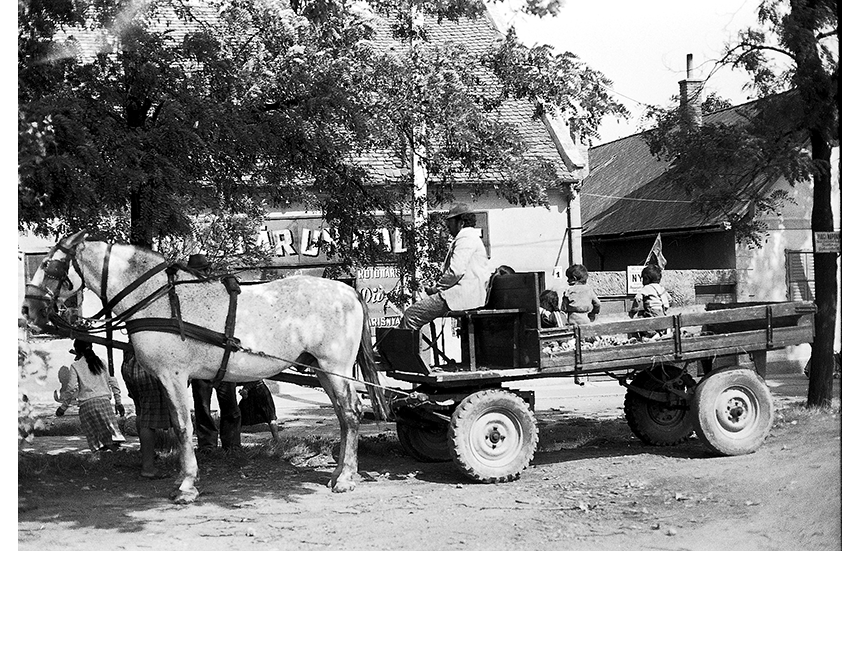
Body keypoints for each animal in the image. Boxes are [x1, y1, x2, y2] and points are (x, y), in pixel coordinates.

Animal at [23, 229, 392, 502]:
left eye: (51, 264)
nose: (28, 309)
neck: (157, 297)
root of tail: (347, 290)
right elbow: (180, 426)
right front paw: (183, 479)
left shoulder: (173, 376)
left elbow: (182, 427)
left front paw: (186, 485)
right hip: (322, 369)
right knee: (344, 417)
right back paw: (340, 473)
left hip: (335, 367)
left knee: (350, 414)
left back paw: (345, 478)